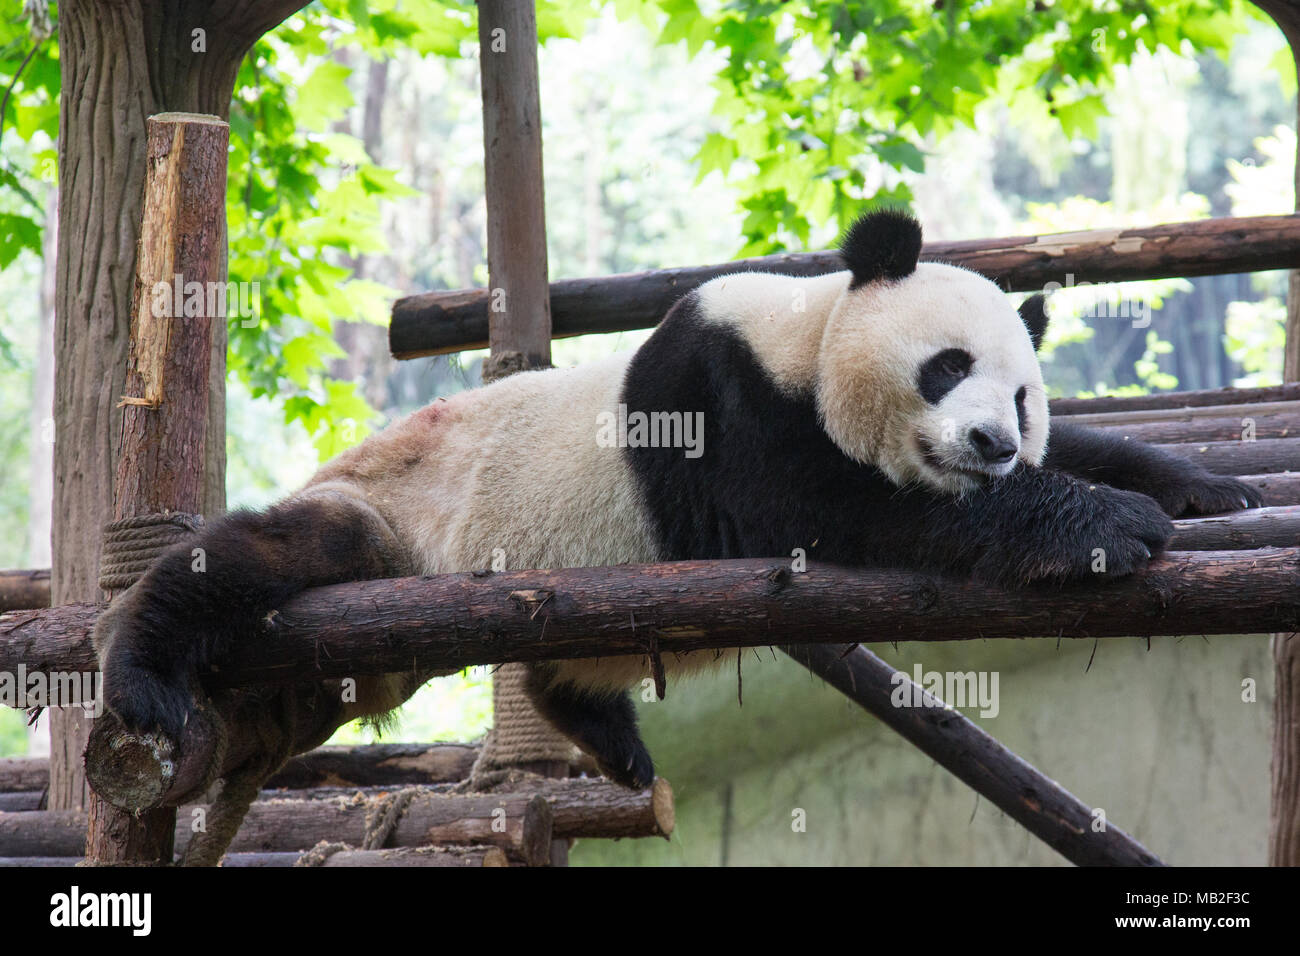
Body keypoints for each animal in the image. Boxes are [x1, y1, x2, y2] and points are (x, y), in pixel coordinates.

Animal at [98, 210, 1258, 790]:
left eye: (1022, 395)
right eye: (946, 368)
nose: (994, 443)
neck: (805, 337)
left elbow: (1104, 444)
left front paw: (1204, 483)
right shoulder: (720, 401)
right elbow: (846, 509)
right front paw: (1110, 525)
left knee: (572, 664)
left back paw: (607, 735)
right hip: (390, 512)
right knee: (264, 555)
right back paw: (143, 668)